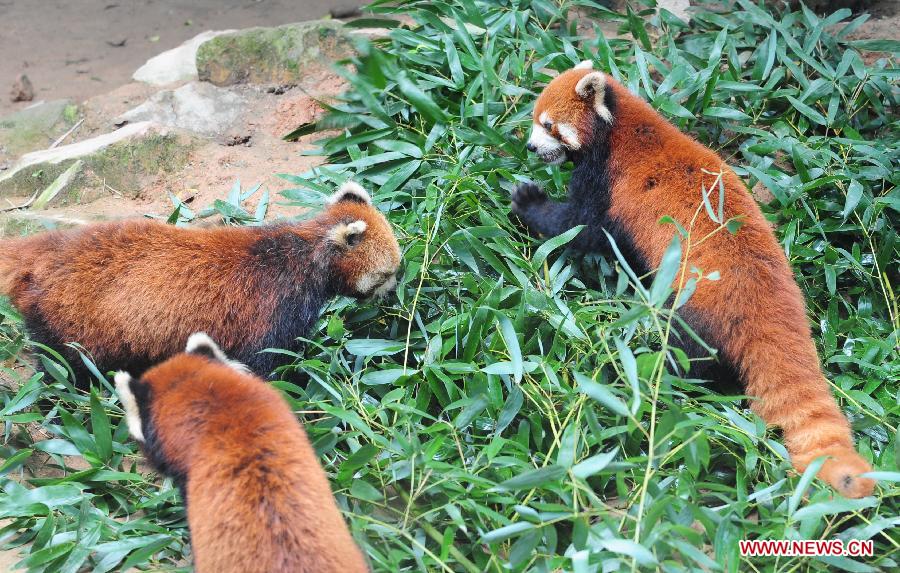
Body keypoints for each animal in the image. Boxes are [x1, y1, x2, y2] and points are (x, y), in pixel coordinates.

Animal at [0, 183, 400, 380]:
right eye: (388, 273)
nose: (395, 290)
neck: (306, 253)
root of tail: (41, 249)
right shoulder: (274, 307)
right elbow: (265, 362)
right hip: (70, 320)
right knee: (67, 363)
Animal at [516, 59, 876, 496]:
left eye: (549, 125)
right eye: (536, 120)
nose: (531, 148)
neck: (618, 128)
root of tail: (769, 299)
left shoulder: (606, 185)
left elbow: (579, 227)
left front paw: (528, 202)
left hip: (695, 310)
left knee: (684, 355)